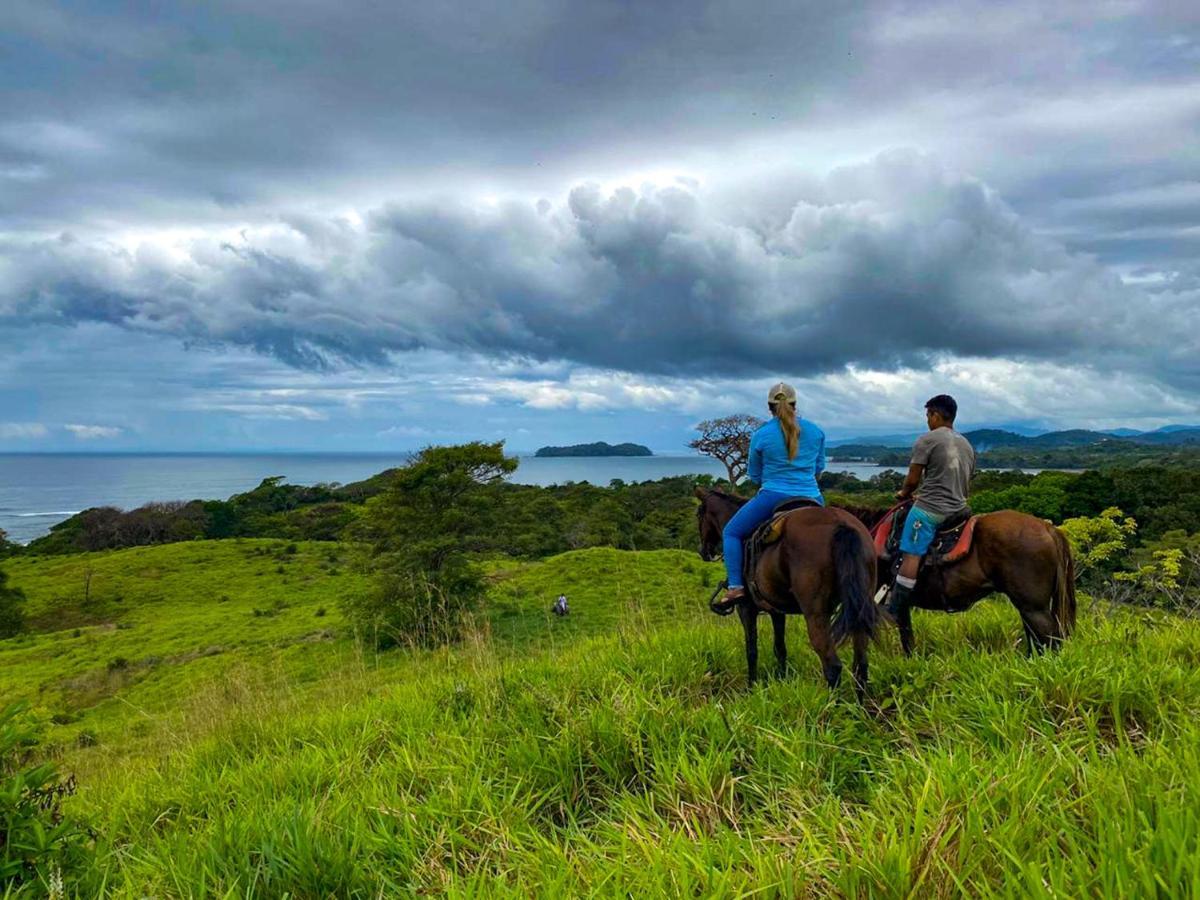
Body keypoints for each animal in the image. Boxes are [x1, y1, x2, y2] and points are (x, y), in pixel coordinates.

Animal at [696, 489, 883, 700]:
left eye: (699, 514)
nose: (703, 551)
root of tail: (840, 524)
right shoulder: (777, 611)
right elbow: (780, 648)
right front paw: (781, 682)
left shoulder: (746, 609)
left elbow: (751, 650)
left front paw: (751, 689)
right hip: (859, 607)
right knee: (861, 663)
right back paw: (858, 707)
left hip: (816, 613)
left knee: (833, 666)